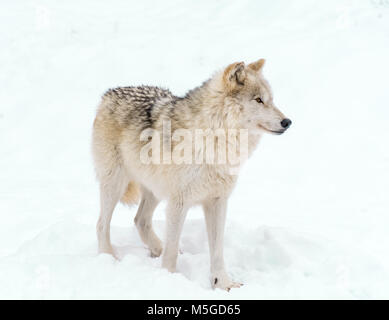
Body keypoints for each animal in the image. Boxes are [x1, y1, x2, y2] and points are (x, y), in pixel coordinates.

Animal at [91, 58, 292, 292]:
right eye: (259, 100)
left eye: (271, 100)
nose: (287, 122)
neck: (213, 139)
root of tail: (109, 94)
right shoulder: (179, 203)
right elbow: (171, 253)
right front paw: (170, 279)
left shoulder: (218, 201)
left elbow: (217, 250)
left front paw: (223, 283)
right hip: (116, 184)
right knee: (102, 224)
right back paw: (108, 257)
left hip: (155, 191)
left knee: (140, 220)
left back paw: (156, 248)